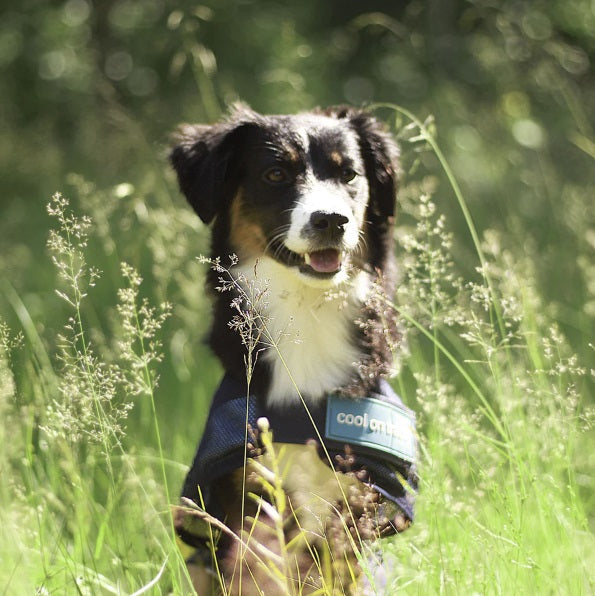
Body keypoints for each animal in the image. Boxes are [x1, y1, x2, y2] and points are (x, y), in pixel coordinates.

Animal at [170, 107, 416, 596]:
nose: (332, 220)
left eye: (349, 174)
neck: (307, 310)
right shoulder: (245, 495)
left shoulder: (356, 501)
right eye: (276, 173)